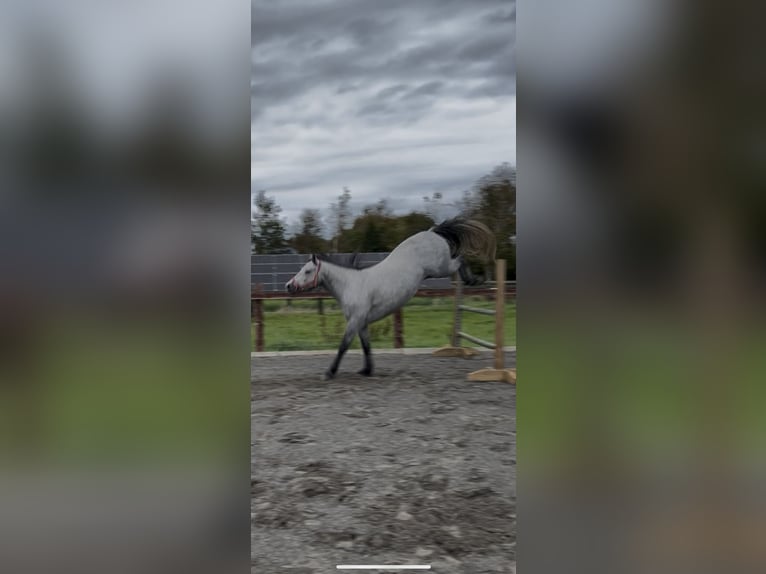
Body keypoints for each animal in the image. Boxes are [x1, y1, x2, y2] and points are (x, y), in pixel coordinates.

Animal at [285, 218, 496, 379]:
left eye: (307, 271)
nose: (289, 286)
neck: (351, 285)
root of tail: (432, 232)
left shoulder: (354, 321)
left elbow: (343, 346)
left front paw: (329, 372)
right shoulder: (361, 323)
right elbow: (366, 346)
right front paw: (366, 370)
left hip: (441, 267)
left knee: (460, 259)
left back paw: (473, 279)